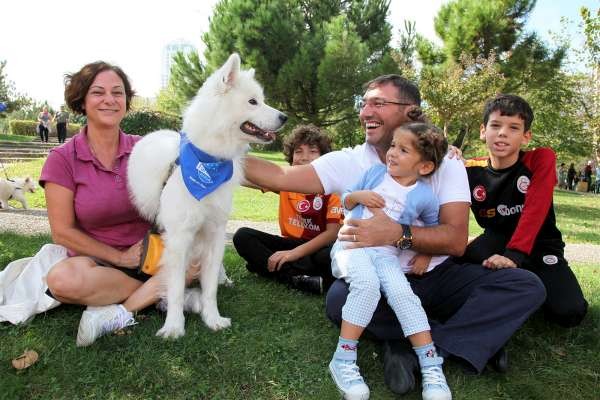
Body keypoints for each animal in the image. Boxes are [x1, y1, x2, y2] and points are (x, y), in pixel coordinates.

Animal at [127, 53, 288, 340]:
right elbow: (176, 288)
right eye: (253, 101)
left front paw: (212, 319)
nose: (285, 117)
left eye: (262, 99)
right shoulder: (179, 240)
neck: (208, 161)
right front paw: (174, 326)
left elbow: (210, 287)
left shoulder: (214, 234)